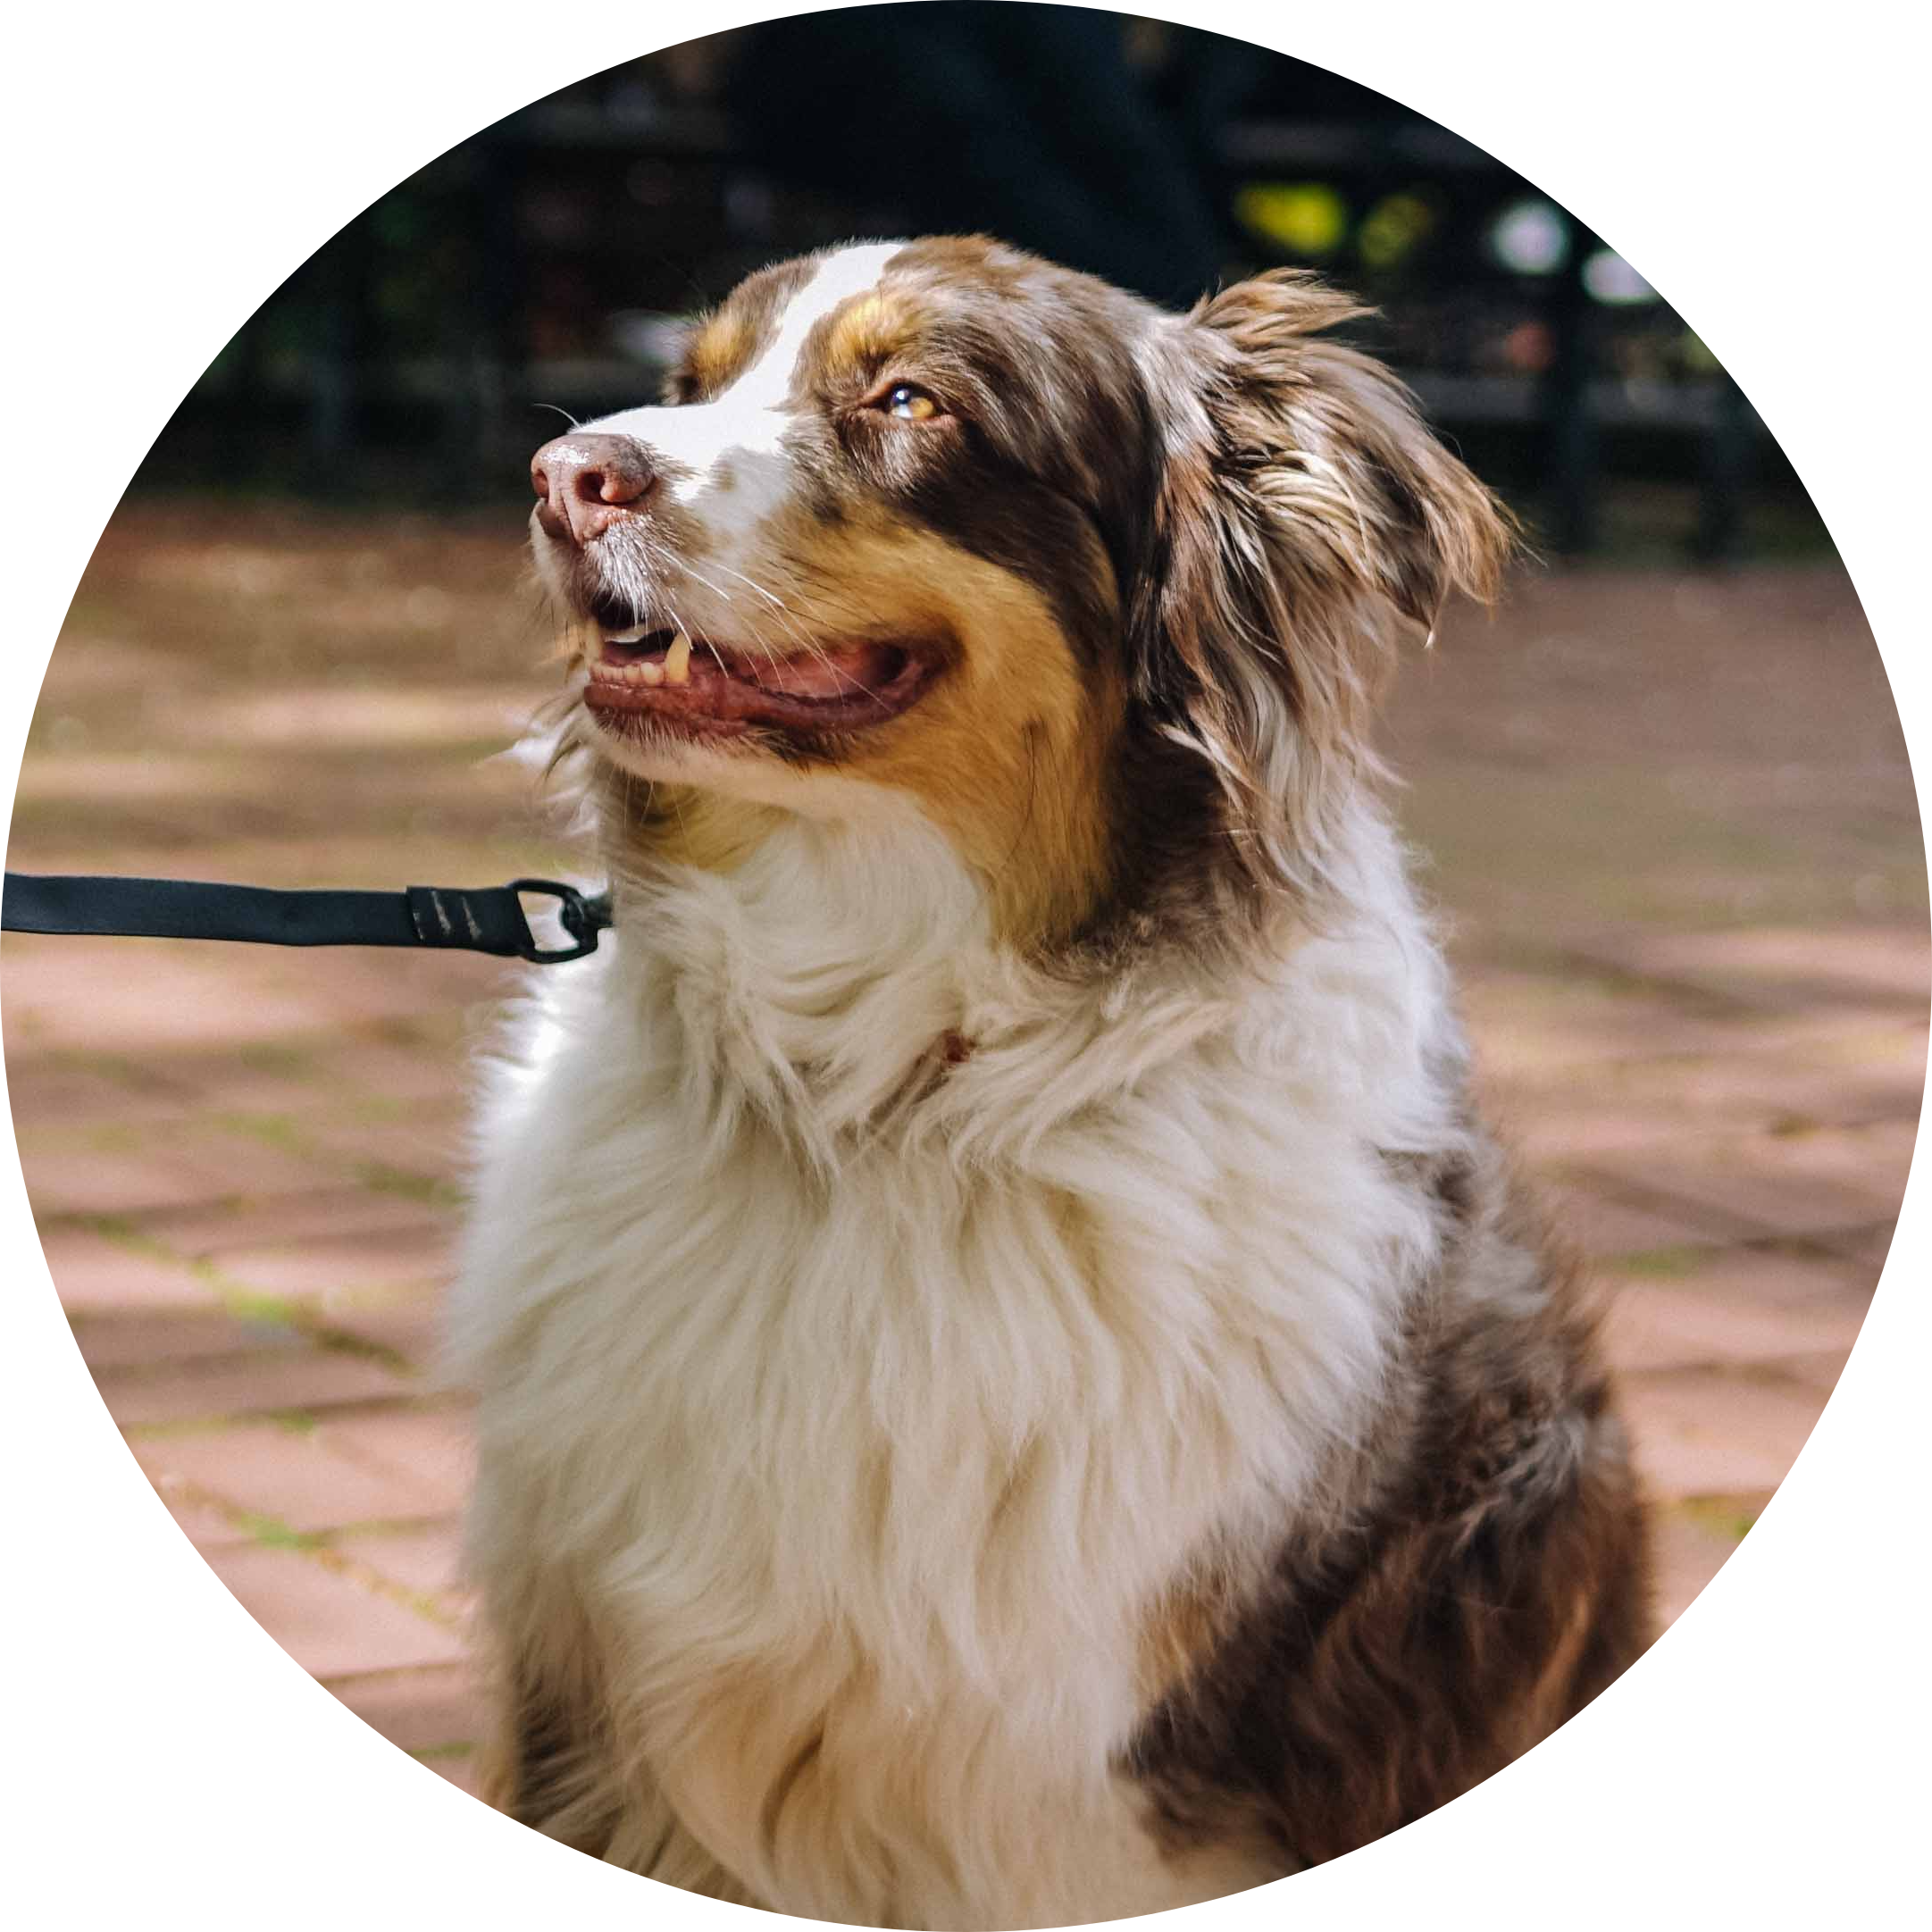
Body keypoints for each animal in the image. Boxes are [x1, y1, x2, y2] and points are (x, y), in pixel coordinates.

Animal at [447, 236, 1652, 1926]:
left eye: (907, 400)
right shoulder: (610, 1713)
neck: (884, 1090)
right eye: (692, 379)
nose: (563, 476)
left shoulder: (1080, 1789)